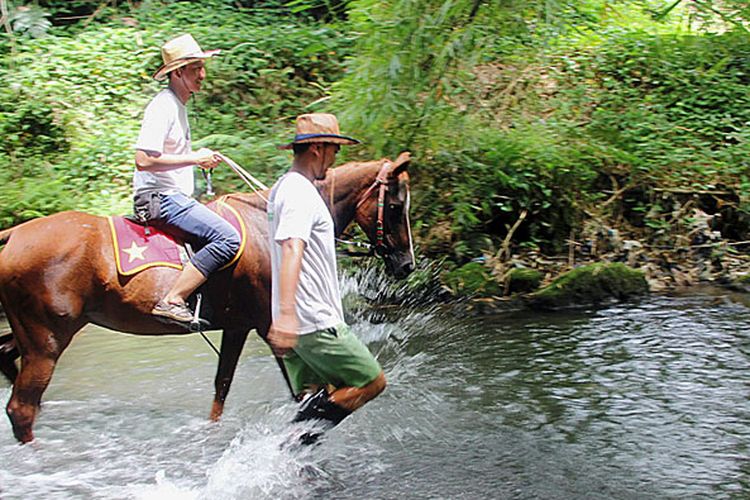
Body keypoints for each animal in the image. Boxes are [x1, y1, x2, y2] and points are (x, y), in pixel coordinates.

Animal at [0, 152, 418, 442]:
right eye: (395, 207)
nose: (407, 265)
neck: (273, 226)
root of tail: (15, 233)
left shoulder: (238, 327)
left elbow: (222, 387)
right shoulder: (271, 327)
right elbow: (306, 390)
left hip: (33, 332)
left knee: (7, 362)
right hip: (48, 340)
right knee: (21, 408)